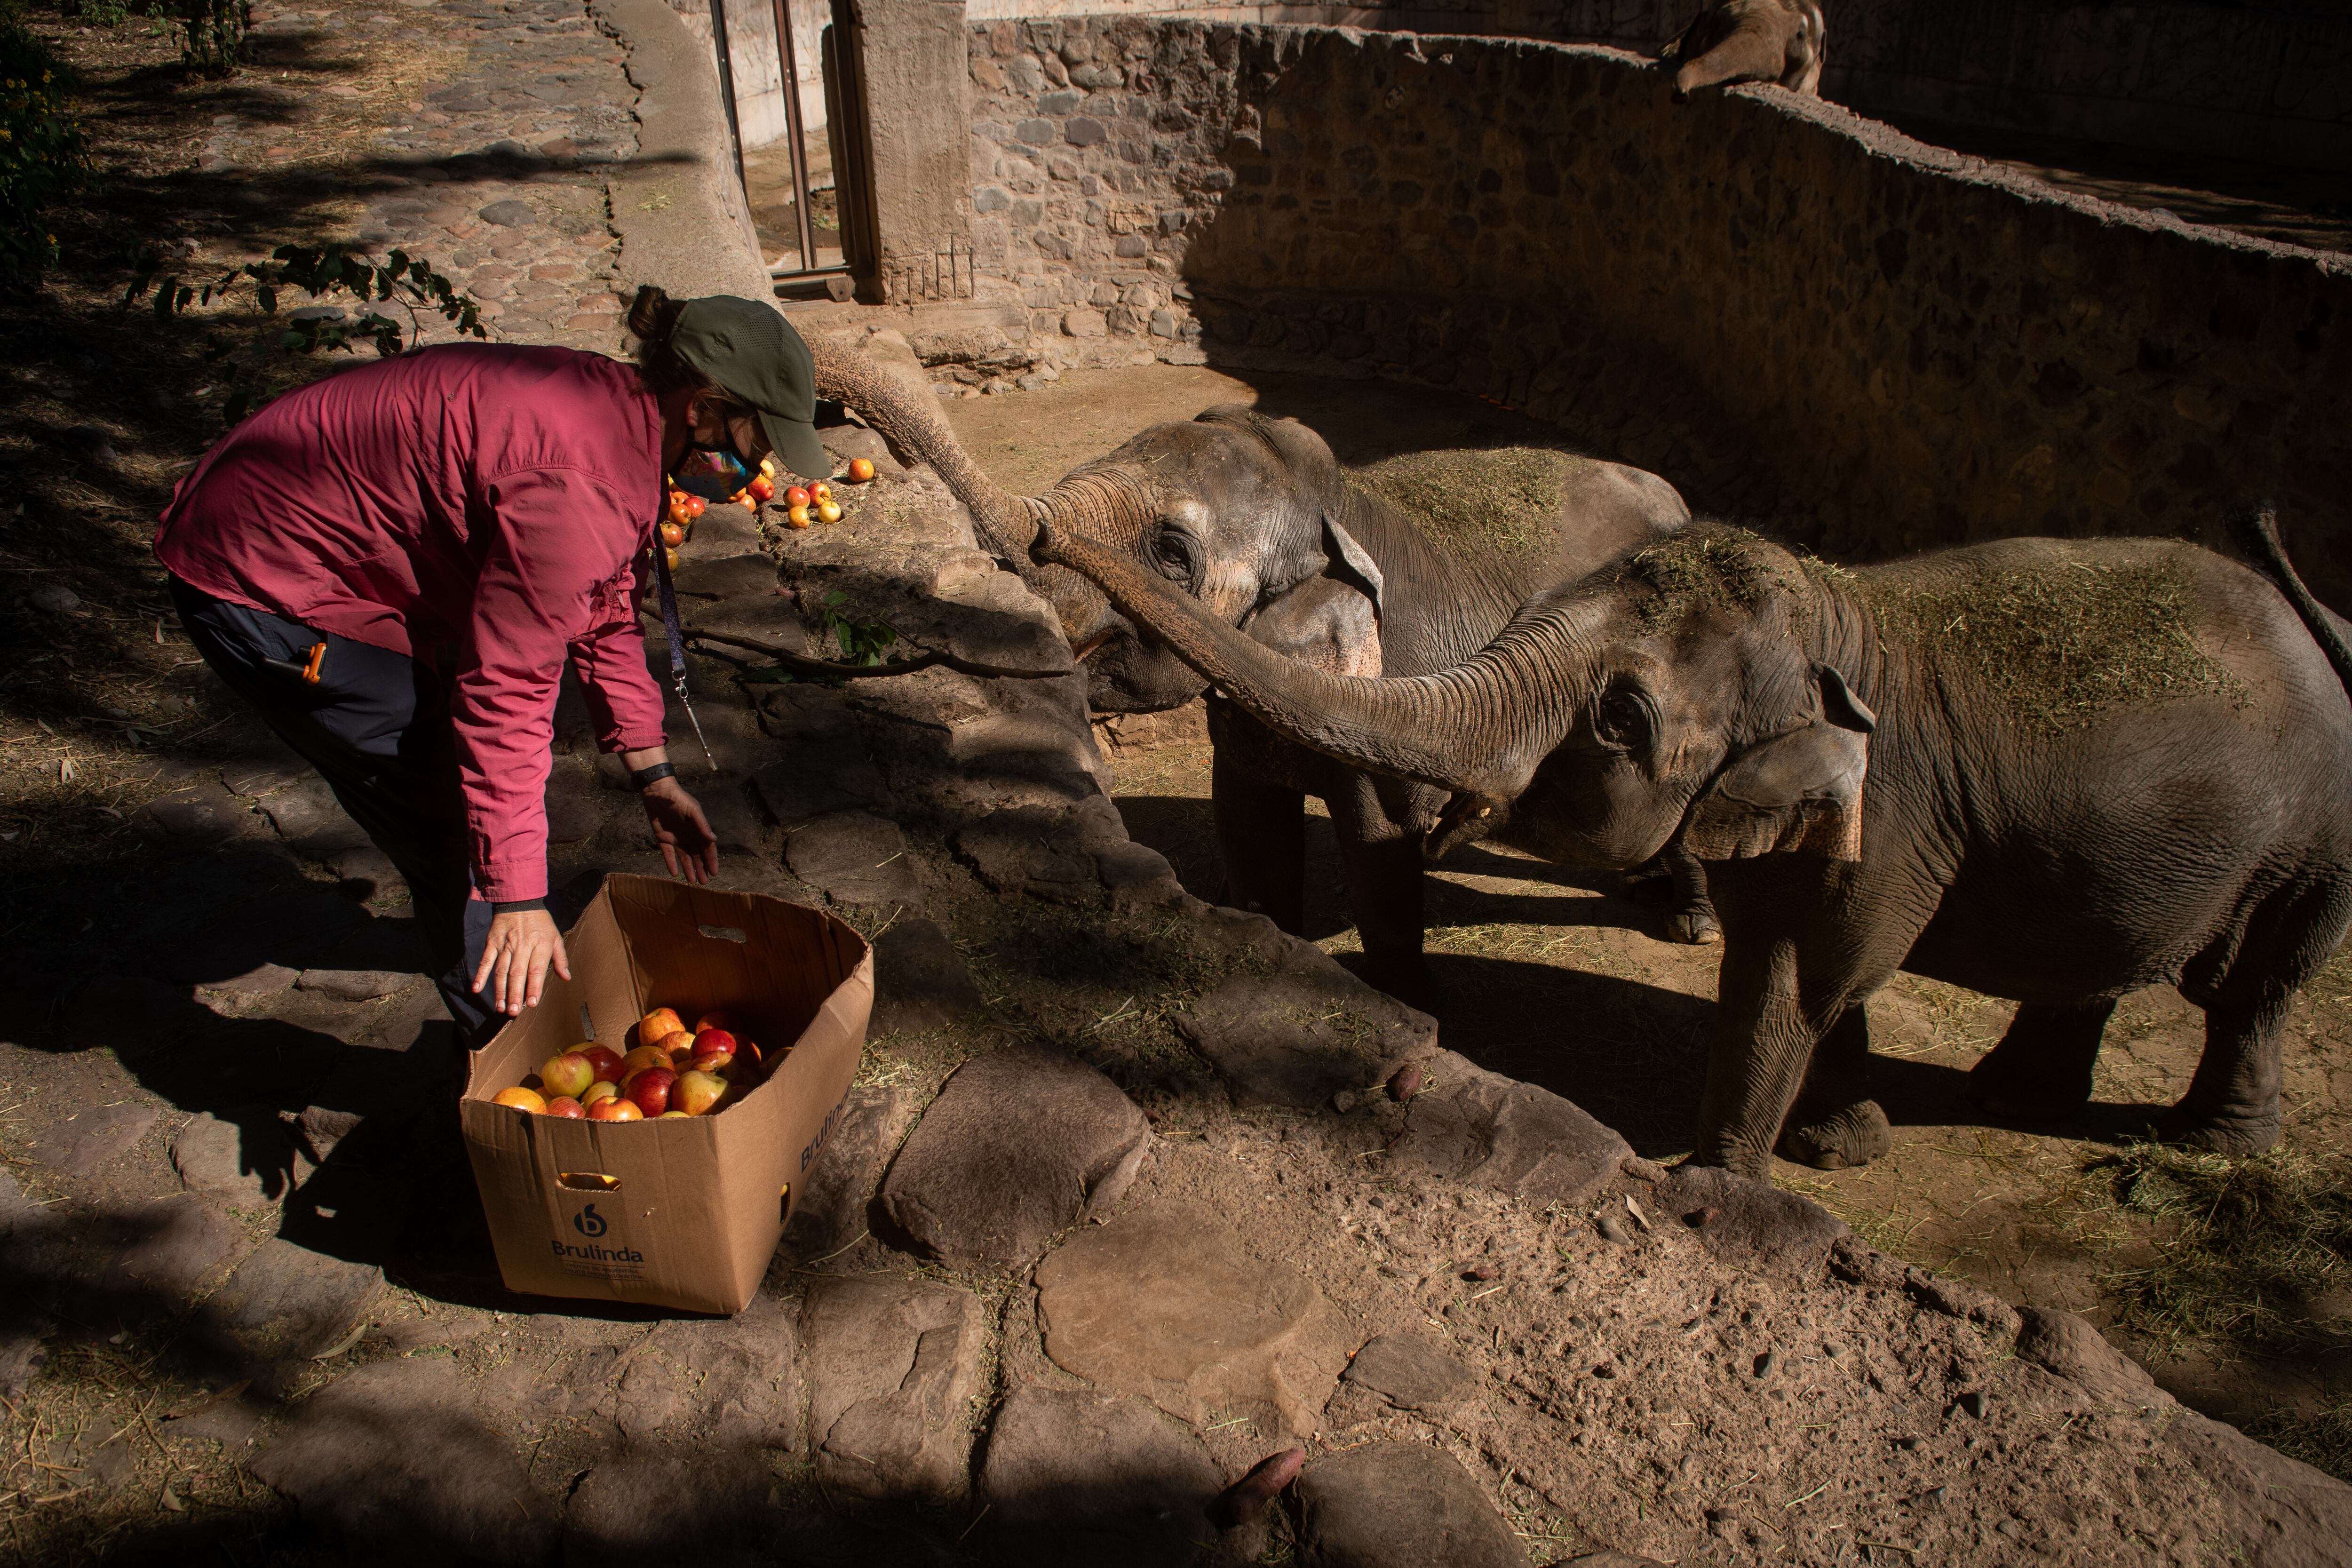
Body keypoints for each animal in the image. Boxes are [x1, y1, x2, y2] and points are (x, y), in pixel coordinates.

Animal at [814, 343, 1712, 1006]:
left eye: (1172, 552)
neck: (1339, 505)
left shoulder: (1396, 691)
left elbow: (1379, 855)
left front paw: (1410, 1001)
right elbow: (1251, 827)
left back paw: (1691, 924)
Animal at [1040, 505, 2352, 1175]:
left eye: (1622, 716)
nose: (1046, 535)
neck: (1847, 618)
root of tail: (2318, 623)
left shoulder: (1891, 816)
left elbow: (1796, 981)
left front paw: (1721, 1180)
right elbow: (1814, 979)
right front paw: (1839, 1144)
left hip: (2319, 846)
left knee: (2254, 984)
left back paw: (2214, 1149)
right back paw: (2015, 1091)